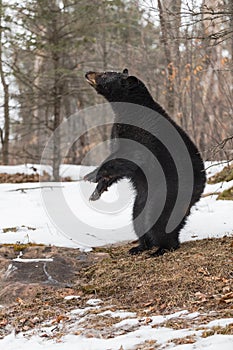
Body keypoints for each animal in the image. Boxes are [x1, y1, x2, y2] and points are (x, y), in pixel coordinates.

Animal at [84, 68, 206, 256]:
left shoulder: (143, 134)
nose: (88, 73)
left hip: (169, 193)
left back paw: (162, 248)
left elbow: (131, 156)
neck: (129, 109)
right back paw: (140, 246)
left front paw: (91, 175)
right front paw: (96, 191)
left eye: (105, 74)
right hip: (143, 197)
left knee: (160, 220)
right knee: (138, 216)